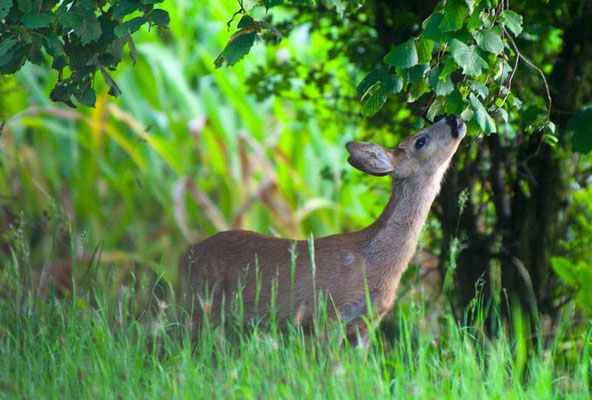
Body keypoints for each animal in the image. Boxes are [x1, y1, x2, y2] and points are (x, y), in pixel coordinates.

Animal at [178, 115, 464, 346]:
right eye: (420, 141)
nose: (453, 117)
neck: (375, 263)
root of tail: (183, 256)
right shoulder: (328, 313)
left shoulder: (367, 323)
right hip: (197, 304)